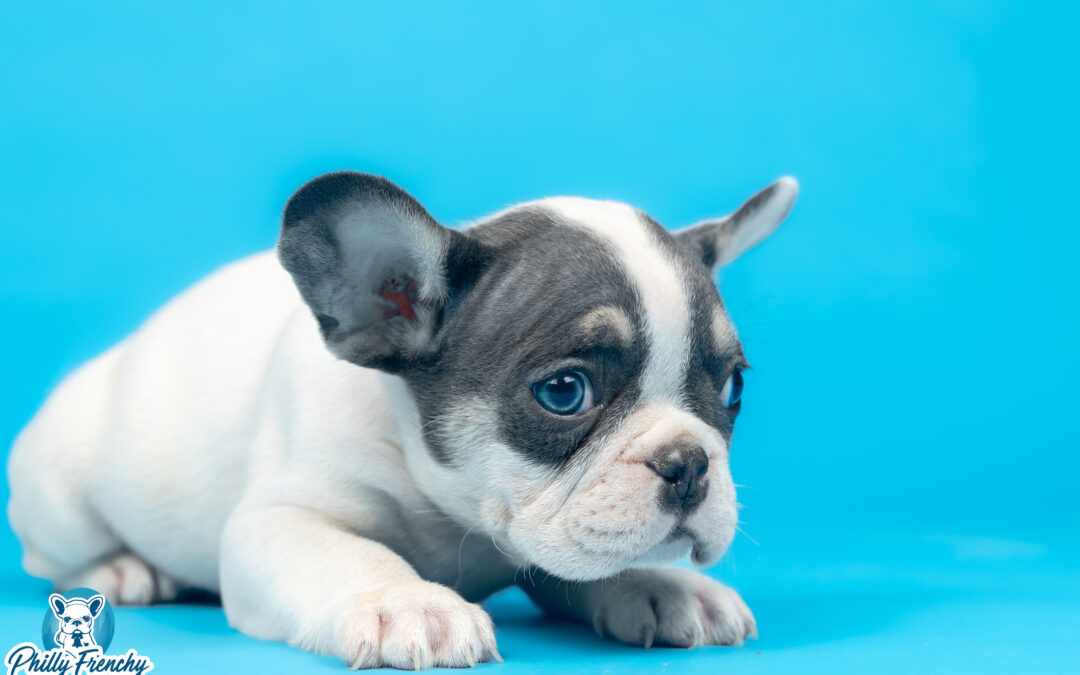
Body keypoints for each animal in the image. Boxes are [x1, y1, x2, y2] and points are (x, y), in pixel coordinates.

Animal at [8, 169, 794, 669]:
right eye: (565, 391)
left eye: (732, 387)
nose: (688, 463)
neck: (457, 511)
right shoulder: (280, 519)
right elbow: (350, 555)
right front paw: (410, 603)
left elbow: (585, 562)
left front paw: (662, 586)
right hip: (59, 493)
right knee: (51, 556)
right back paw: (120, 568)